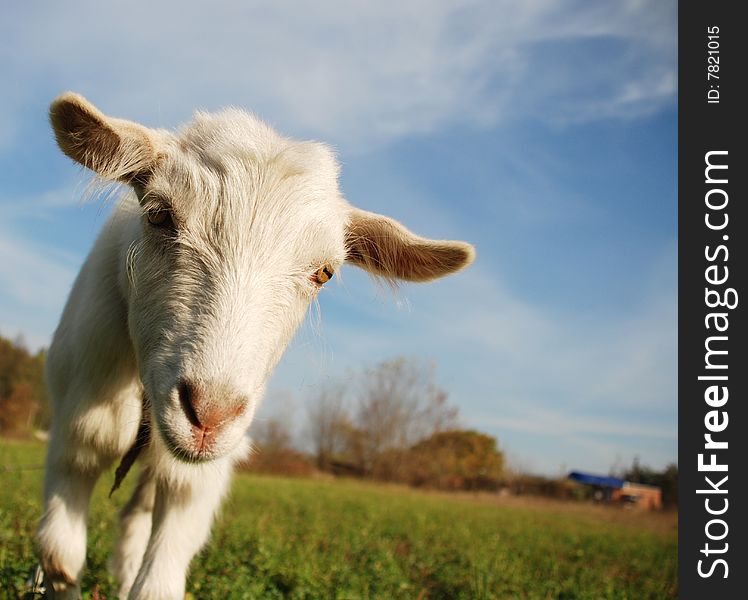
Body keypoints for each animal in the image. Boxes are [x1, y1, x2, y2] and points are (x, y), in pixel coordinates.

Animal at [36, 94, 474, 600]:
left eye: (324, 272)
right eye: (159, 214)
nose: (209, 415)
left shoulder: (199, 478)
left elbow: (158, 581)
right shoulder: (76, 432)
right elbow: (60, 557)